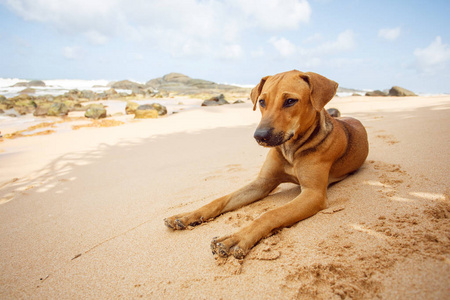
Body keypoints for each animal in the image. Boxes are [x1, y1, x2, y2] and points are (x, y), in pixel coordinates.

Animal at [165, 69, 370, 258]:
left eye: (290, 101)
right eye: (262, 102)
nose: (260, 136)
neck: (291, 149)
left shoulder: (313, 194)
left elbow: (271, 214)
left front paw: (237, 238)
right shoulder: (262, 183)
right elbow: (220, 200)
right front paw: (188, 215)